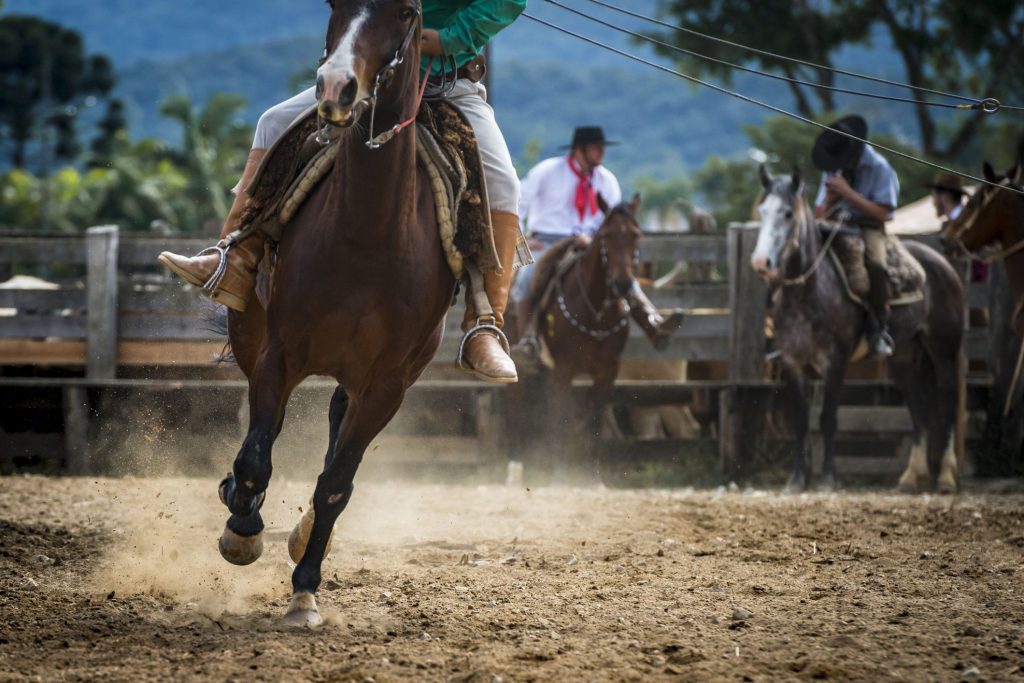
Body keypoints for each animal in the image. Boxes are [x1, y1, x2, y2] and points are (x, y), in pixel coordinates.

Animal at [219, 0, 452, 626]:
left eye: (407, 12)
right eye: (333, 6)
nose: (336, 88)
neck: (366, 232)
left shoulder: (388, 384)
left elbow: (335, 484)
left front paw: (304, 588)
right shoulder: (279, 354)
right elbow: (256, 457)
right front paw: (243, 529)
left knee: (334, 428)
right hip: (251, 334)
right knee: (265, 433)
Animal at [753, 167, 966, 493]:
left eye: (788, 213)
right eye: (762, 211)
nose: (761, 261)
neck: (808, 293)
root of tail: (943, 264)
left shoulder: (835, 362)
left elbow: (828, 418)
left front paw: (828, 478)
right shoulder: (792, 364)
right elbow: (801, 421)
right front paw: (797, 480)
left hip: (944, 350)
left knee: (947, 403)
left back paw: (945, 477)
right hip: (904, 358)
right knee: (920, 410)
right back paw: (910, 477)